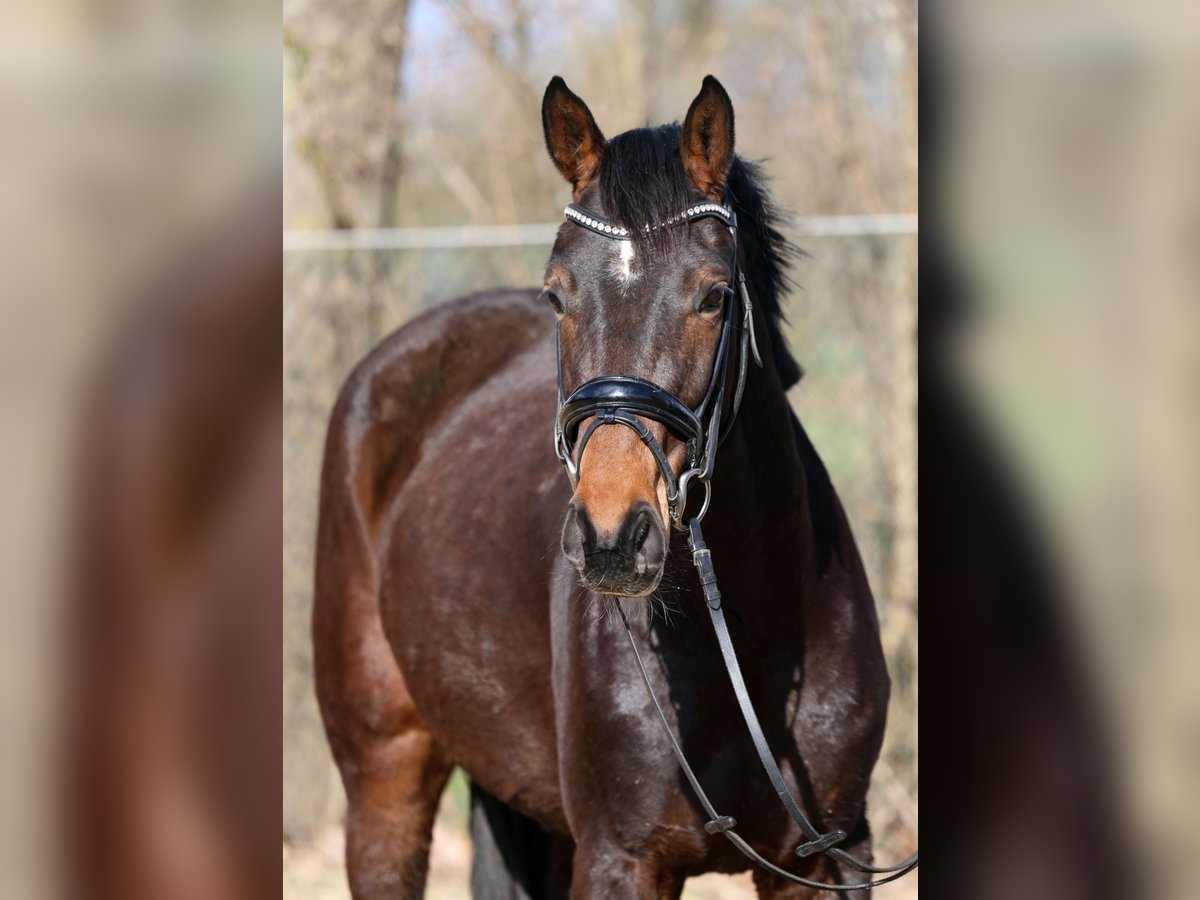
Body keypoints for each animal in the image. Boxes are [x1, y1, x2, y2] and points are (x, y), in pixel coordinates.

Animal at [313, 76, 894, 898]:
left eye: (715, 296)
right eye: (557, 295)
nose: (611, 537)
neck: (748, 644)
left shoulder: (830, 858)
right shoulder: (620, 856)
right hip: (384, 780)